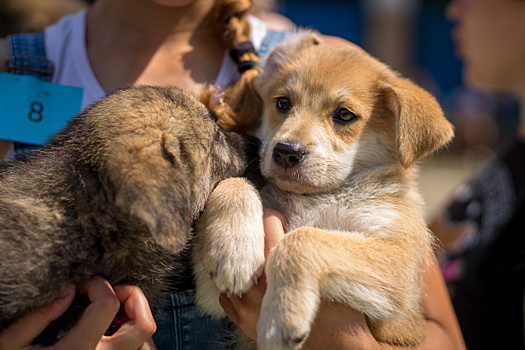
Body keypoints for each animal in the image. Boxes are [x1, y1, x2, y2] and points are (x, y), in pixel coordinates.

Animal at [194, 30, 452, 350]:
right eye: (283, 103)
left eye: (344, 115)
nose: (286, 152)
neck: (317, 197)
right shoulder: (212, 295)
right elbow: (234, 182)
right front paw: (234, 251)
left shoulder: (398, 263)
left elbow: (304, 239)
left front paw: (280, 317)